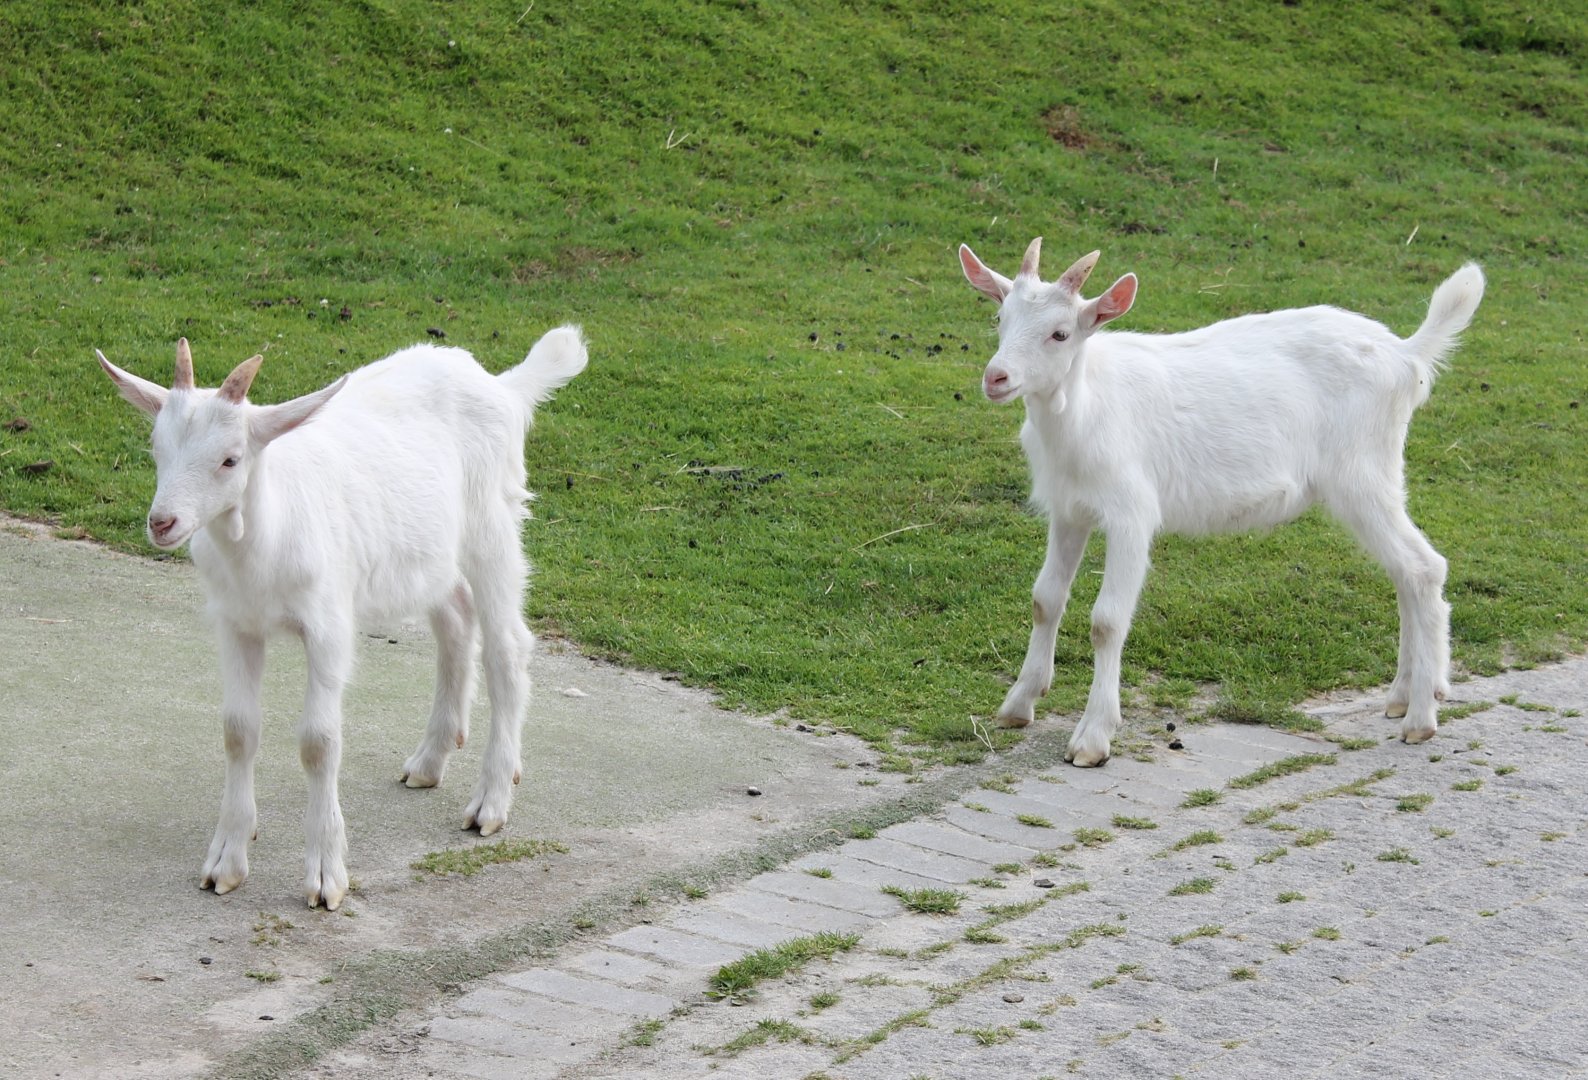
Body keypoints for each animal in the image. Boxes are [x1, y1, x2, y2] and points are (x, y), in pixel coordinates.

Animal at [98, 328, 587, 908]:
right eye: (157, 449)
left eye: (230, 460)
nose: (162, 523)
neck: (265, 537)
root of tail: (503, 386)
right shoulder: (236, 623)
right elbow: (238, 730)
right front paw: (226, 861)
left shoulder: (328, 625)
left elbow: (318, 741)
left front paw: (326, 875)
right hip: (426, 552)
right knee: (454, 619)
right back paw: (430, 760)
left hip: (492, 525)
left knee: (507, 647)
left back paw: (490, 800)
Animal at [959, 238, 1483, 766]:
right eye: (1000, 318)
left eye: (1061, 333)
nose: (996, 377)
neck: (1085, 408)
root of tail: (1406, 355)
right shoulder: (1069, 510)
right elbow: (1045, 599)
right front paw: (1018, 703)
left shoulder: (1131, 513)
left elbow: (1107, 621)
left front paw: (1093, 737)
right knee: (1406, 572)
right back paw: (1404, 695)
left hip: (1362, 474)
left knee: (1423, 567)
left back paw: (1421, 718)